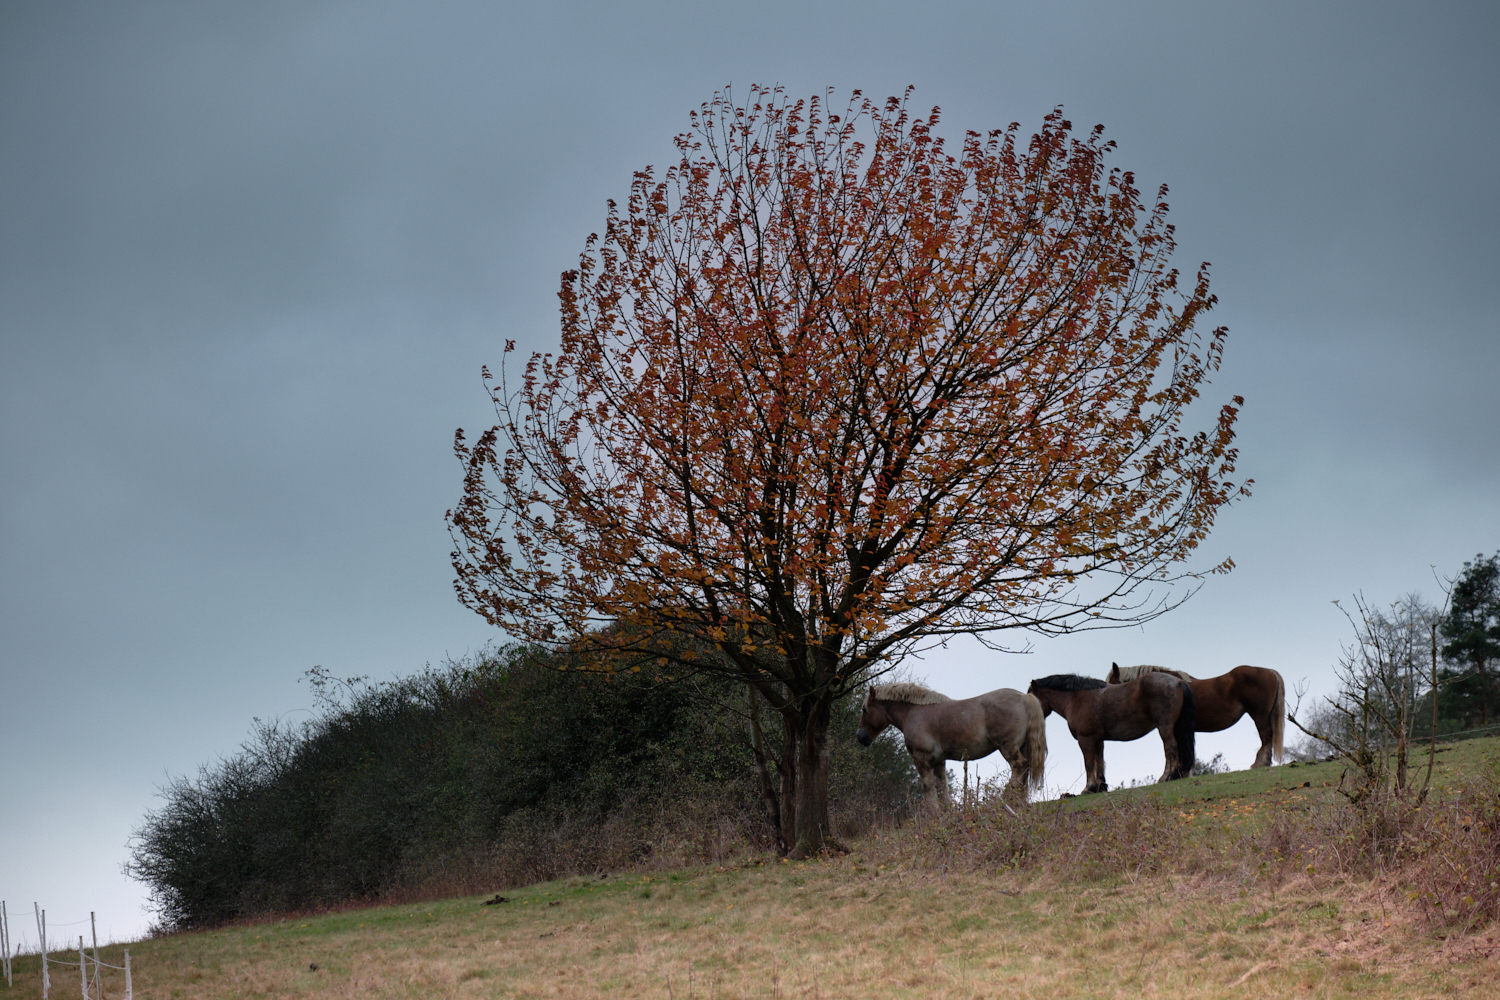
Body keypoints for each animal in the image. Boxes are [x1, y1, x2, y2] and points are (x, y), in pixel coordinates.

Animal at [858, 680, 1044, 815]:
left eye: (865, 709)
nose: (860, 737)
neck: (913, 713)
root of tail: (1024, 698)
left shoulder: (921, 759)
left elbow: (927, 785)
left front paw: (932, 814)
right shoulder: (938, 761)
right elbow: (942, 788)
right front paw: (947, 813)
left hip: (1007, 747)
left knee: (1018, 767)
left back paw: (1006, 801)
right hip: (1022, 747)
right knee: (1025, 770)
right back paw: (1019, 802)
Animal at [1020, 671, 1194, 797]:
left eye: (1030, 697)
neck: (1076, 698)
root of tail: (1177, 682)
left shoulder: (1085, 739)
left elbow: (1089, 763)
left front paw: (1088, 788)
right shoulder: (1098, 740)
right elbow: (1100, 763)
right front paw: (1100, 787)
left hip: (1165, 727)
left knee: (1170, 748)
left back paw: (1167, 776)